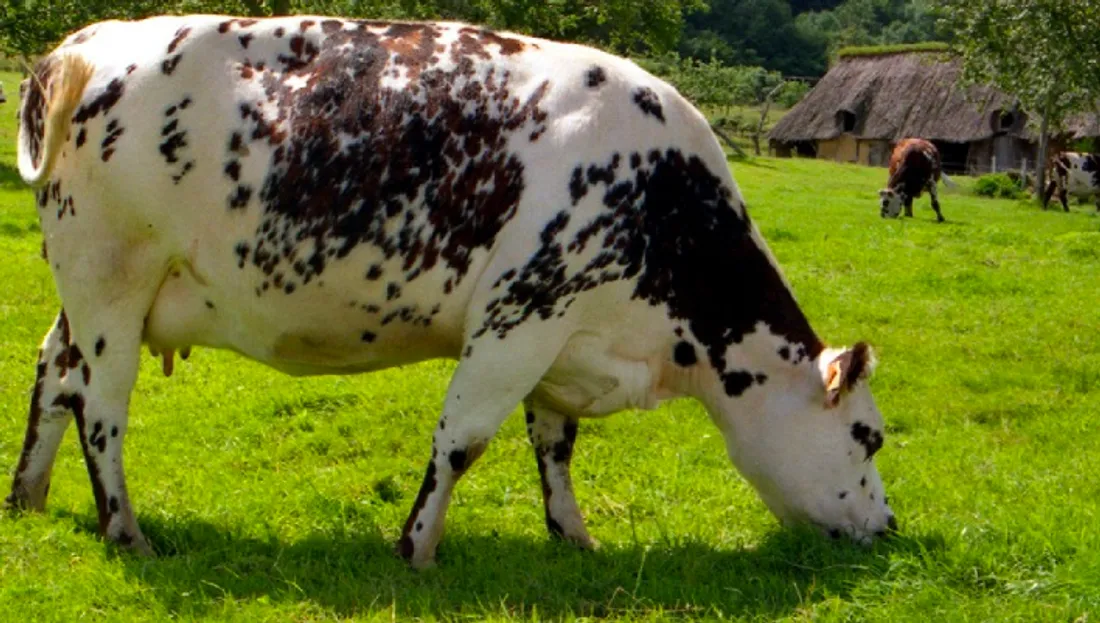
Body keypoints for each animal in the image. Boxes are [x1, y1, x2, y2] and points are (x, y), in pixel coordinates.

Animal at [7, 15, 896, 569]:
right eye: (870, 437)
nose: (888, 527)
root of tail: (83, 44)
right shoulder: (522, 312)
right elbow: (461, 440)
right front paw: (416, 549)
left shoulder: (563, 334)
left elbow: (554, 442)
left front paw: (572, 536)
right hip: (111, 279)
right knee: (100, 406)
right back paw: (125, 531)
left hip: (92, 292)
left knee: (54, 372)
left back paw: (27, 495)